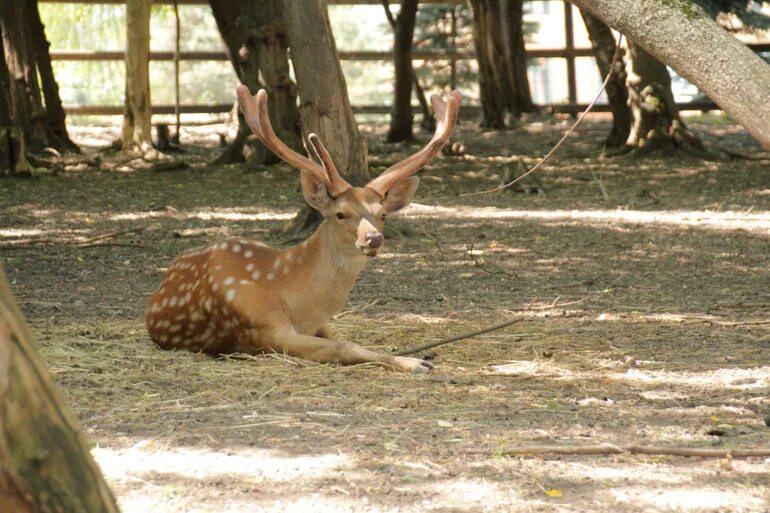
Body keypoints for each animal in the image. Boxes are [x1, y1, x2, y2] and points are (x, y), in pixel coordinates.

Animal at [146, 85, 460, 372]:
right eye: (340, 214)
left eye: (382, 214)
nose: (373, 238)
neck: (301, 305)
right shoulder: (264, 327)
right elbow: (344, 346)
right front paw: (416, 362)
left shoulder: (320, 325)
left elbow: (347, 338)